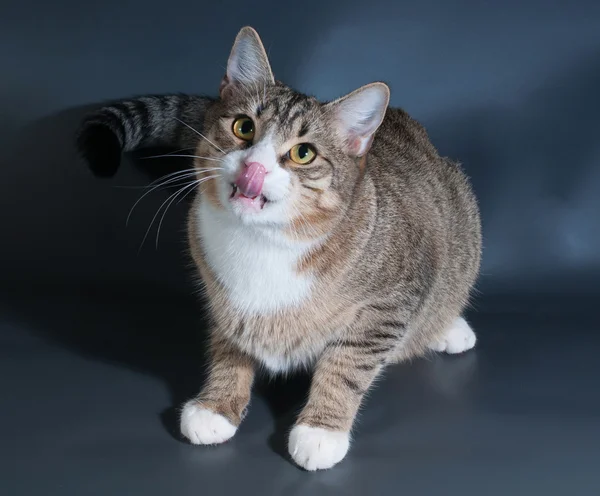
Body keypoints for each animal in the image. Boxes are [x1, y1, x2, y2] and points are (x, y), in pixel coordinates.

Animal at [77, 26, 482, 468]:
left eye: (303, 153)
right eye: (243, 127)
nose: (253, 167)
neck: (265, 240)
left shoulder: (391, 300)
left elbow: (347, 363)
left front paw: (322, 429)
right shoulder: (223, 297)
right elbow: (230, 345)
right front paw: (217, 405)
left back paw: (449, 329)